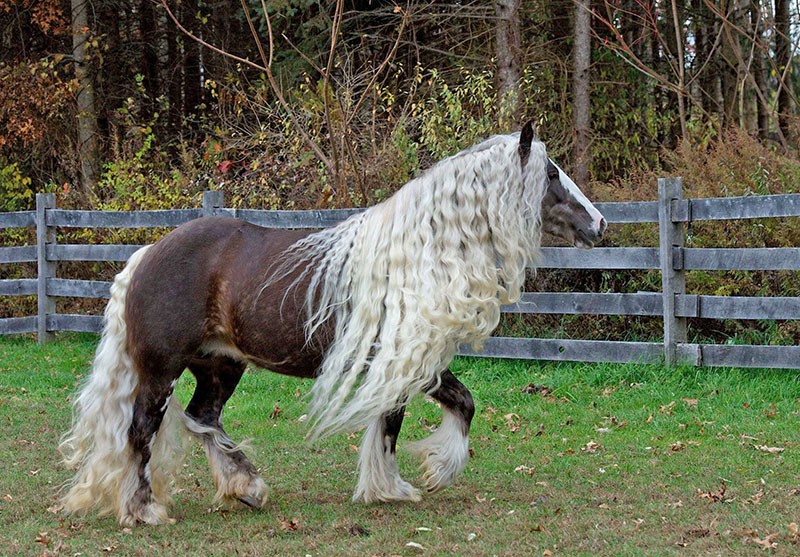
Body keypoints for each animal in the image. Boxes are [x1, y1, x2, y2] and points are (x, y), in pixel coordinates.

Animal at [57, 121, 608, 524]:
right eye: (551, 174)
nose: (600, 223)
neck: (414, 258)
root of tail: (145, 255)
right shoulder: (401, 362)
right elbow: (395, 424)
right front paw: (400, 486)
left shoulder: (415, 363)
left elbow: (461, 404)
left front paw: (424, 474)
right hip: (161, 370)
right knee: (141, 433)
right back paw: (143, 510)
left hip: (220, 365)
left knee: (201, 418)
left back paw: (246, 487)